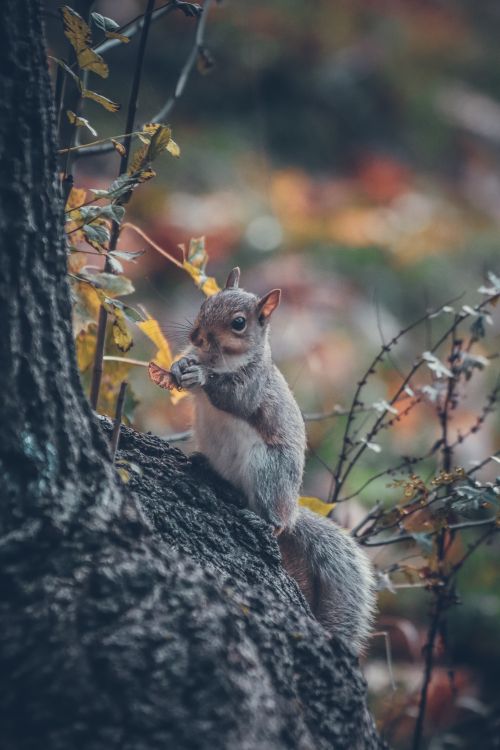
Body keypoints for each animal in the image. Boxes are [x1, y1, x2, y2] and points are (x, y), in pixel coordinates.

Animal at [152, 268, 376, 654]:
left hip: (269, 470)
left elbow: (234, 396)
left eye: (239, 323)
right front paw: (181, 364)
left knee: (278, 522)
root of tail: (292, 506)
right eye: (205, 303)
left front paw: (203, 376)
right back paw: (203, 466)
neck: (220, 358)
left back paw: (264, 521)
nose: (196, 335)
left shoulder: (253, 385)